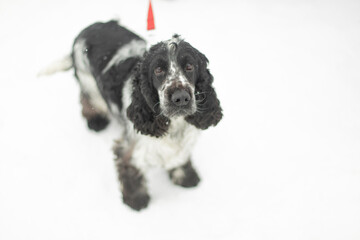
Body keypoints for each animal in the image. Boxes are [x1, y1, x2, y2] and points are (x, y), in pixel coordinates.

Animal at [45, 20, 222, 210]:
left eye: (190, 67)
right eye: (158, 70)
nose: (180, 97)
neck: (174, 125)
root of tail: (92, 26)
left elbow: (179, 158)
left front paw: (187, 177)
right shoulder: (129, 150)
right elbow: (131, 174)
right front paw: (137, 202)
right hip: (88, 82)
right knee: (88, 99)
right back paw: (96, 121)